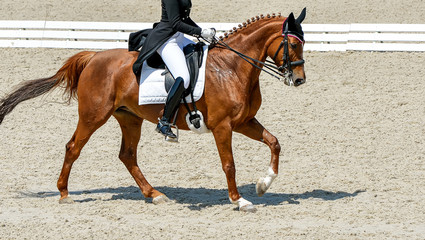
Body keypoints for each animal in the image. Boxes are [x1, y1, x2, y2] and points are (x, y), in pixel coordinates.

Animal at [0, 9, 304, 212]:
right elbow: (229, 164)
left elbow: (274, 142)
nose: (299, 79)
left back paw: (154, 194)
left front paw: (264, 183)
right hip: (93, 115)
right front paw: (239, 200)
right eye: (292, 43)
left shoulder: (243, 121)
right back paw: (64, 193)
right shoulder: (223, 126)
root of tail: (93, 57)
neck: (231, 67)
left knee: (127, 155)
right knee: (73, 147)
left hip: (129, 118)